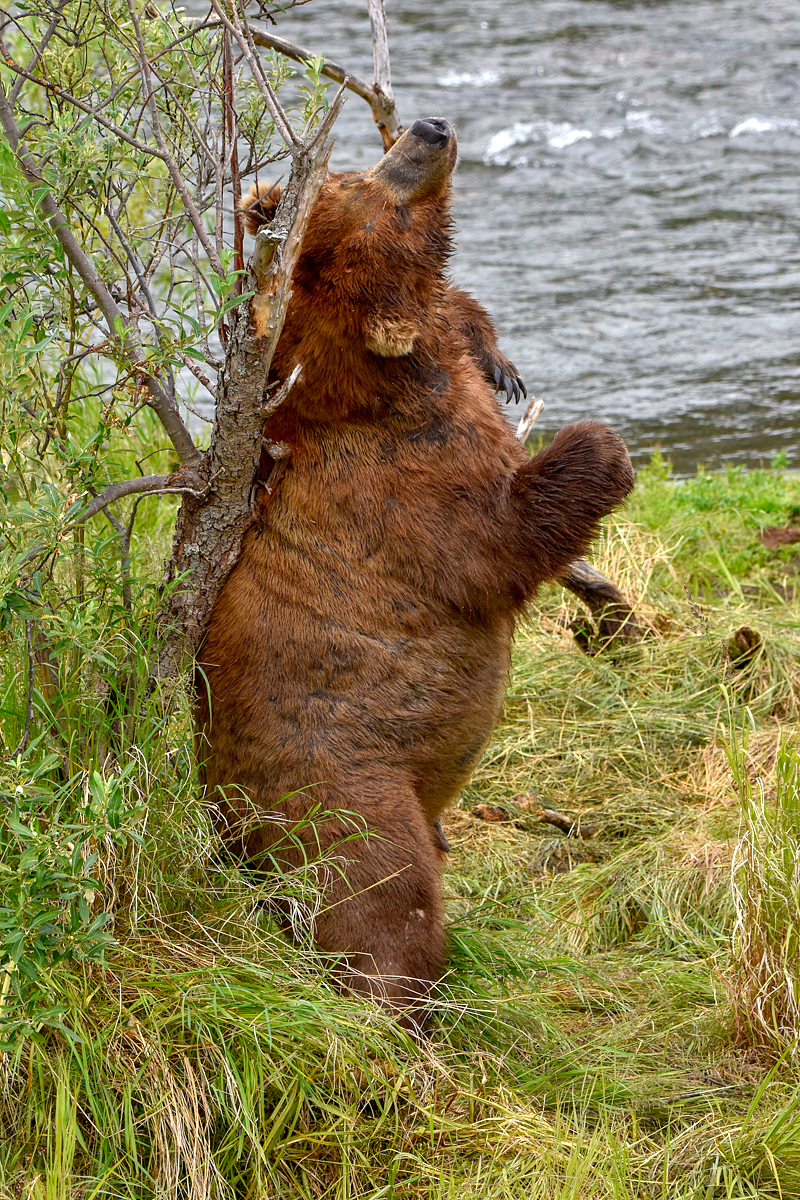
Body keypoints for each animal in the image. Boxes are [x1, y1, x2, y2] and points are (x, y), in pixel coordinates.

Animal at [196, 117, 633, 1027]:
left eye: (346, 171)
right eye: (375, 196)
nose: (428, 131)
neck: (376, 384)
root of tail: (225, 824)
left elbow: (464, 320)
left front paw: (501, 359)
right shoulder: (406, 497)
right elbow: (503, 541)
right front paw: (600, 443)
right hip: (339, 788)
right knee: (381, 899)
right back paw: (407, 1012)